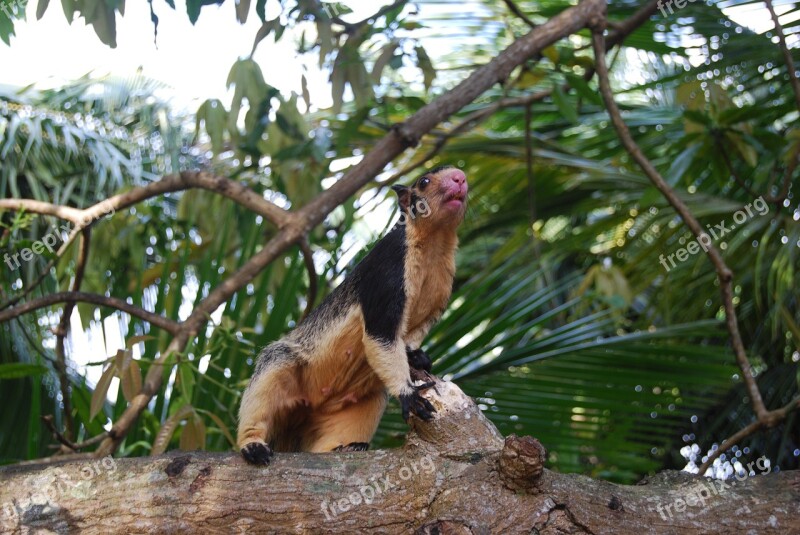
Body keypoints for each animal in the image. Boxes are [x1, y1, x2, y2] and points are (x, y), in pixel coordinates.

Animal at [236, 165, 468, 462]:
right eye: (424, 181)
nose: (460, 177)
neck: (435, 243)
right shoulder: (388, 270)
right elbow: (381, 333)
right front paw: (409, 396)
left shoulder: (442, 289)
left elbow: (414, 334)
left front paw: (417, 357)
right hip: (280, 368)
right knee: (262, 396)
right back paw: (253, 445)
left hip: (357, 405)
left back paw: (348, 447)